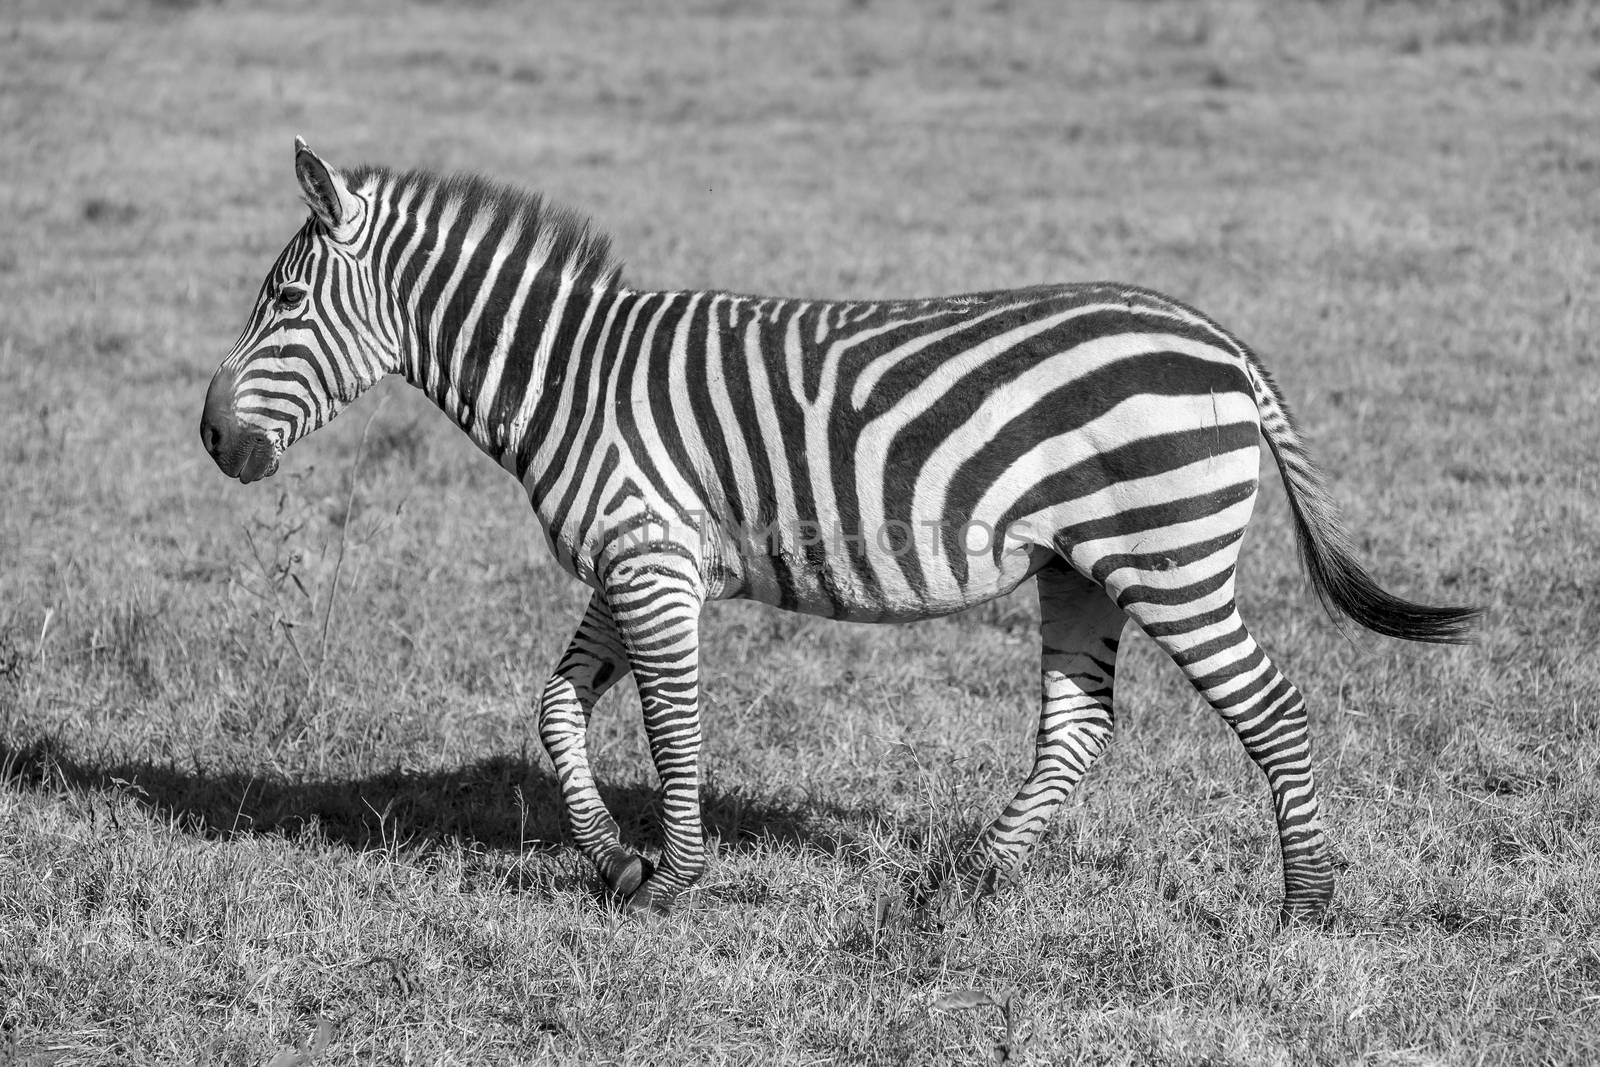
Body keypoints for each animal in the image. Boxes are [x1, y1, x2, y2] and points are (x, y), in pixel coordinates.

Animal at [203, 139, 1484, 927]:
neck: (569, 376)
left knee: (1271, 709)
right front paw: (613, 857)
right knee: (1079, 724)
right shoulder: (634, 556)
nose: (212, 438)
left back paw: (1301, 907)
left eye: (285, 301)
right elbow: (559, 707)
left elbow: (670, 723)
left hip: (1165, 558)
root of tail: (1219, 342)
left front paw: (679, 875)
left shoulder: (651, 559)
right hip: (1080, 568)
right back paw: (963, 880)